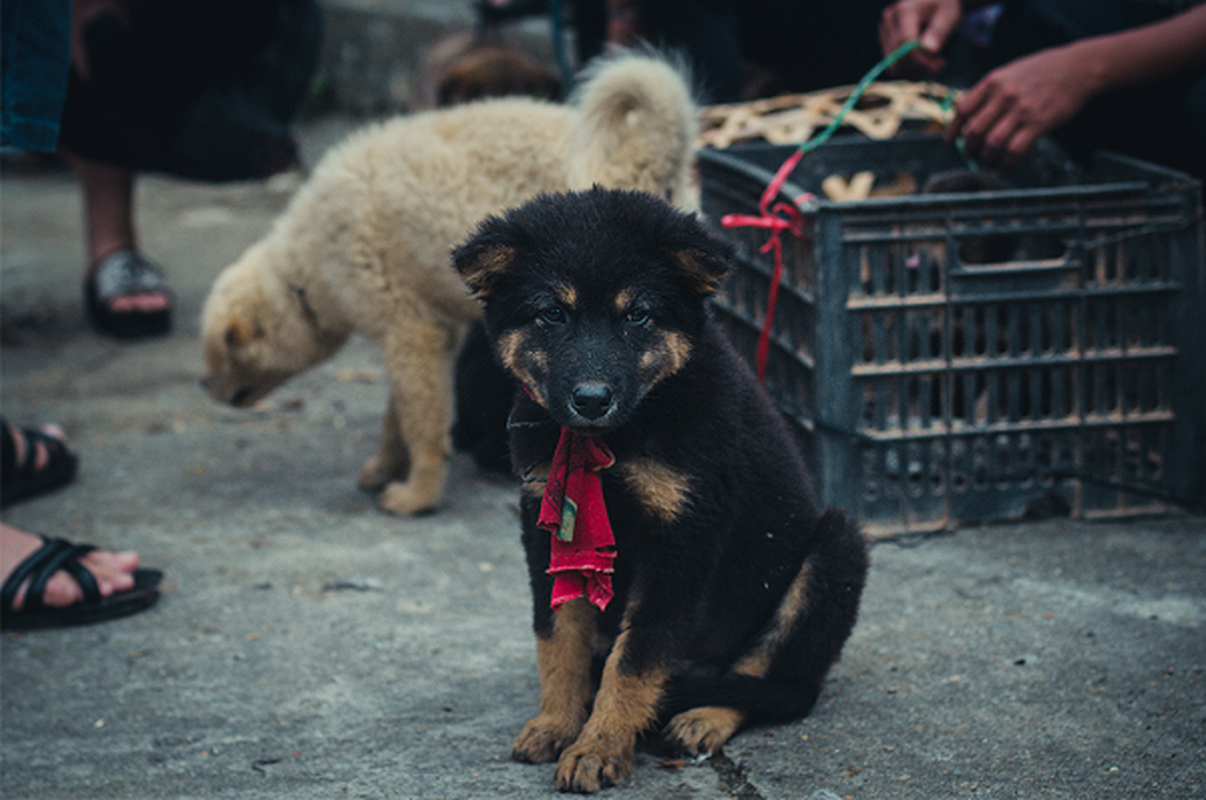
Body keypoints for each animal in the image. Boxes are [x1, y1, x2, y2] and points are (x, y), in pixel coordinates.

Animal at [202, 57, 704, 518]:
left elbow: (420, 420)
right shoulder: (428, 332)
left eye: (222, 355)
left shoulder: (410, 331)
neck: (304, 270)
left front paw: (416, 496)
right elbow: (397, 417)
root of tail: (644, 153)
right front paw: (384, 469)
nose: (205, 388)